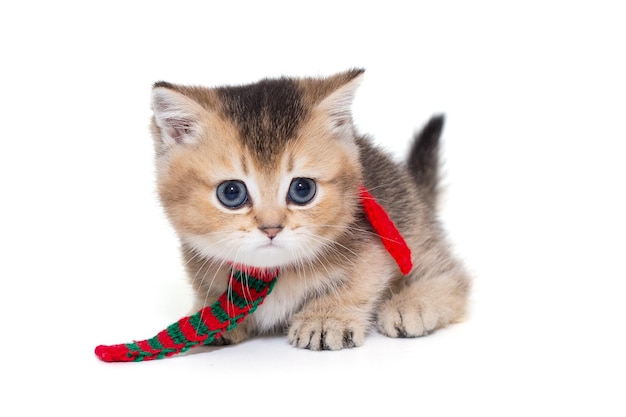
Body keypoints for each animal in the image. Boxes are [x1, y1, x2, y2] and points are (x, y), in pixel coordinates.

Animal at [150, 70, 468, 350]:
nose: (271, 228)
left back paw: (413, 304)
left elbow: (360, 282)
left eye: (302, 189)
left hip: (408, 223)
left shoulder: (374, 243)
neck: (269, 274)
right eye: (231, 193)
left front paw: (327, 318)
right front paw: (208, 316)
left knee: (453, 276)